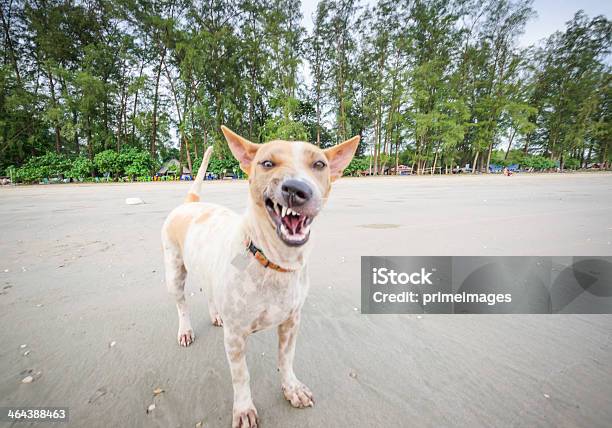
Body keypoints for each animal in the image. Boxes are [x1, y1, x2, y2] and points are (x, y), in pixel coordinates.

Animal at [161, 127, 358, 428]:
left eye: (319, 164)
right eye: (267, 163)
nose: (297, 189)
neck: (274, 262)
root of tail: (190, 203)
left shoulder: (291, 322)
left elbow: (286, 359)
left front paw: (292, 388)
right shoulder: (235, 337)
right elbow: (241, 376)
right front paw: (243, 409)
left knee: (209, 292)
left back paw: (215, 315)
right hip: (173, 271)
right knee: (181, 304)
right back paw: (185, 330)